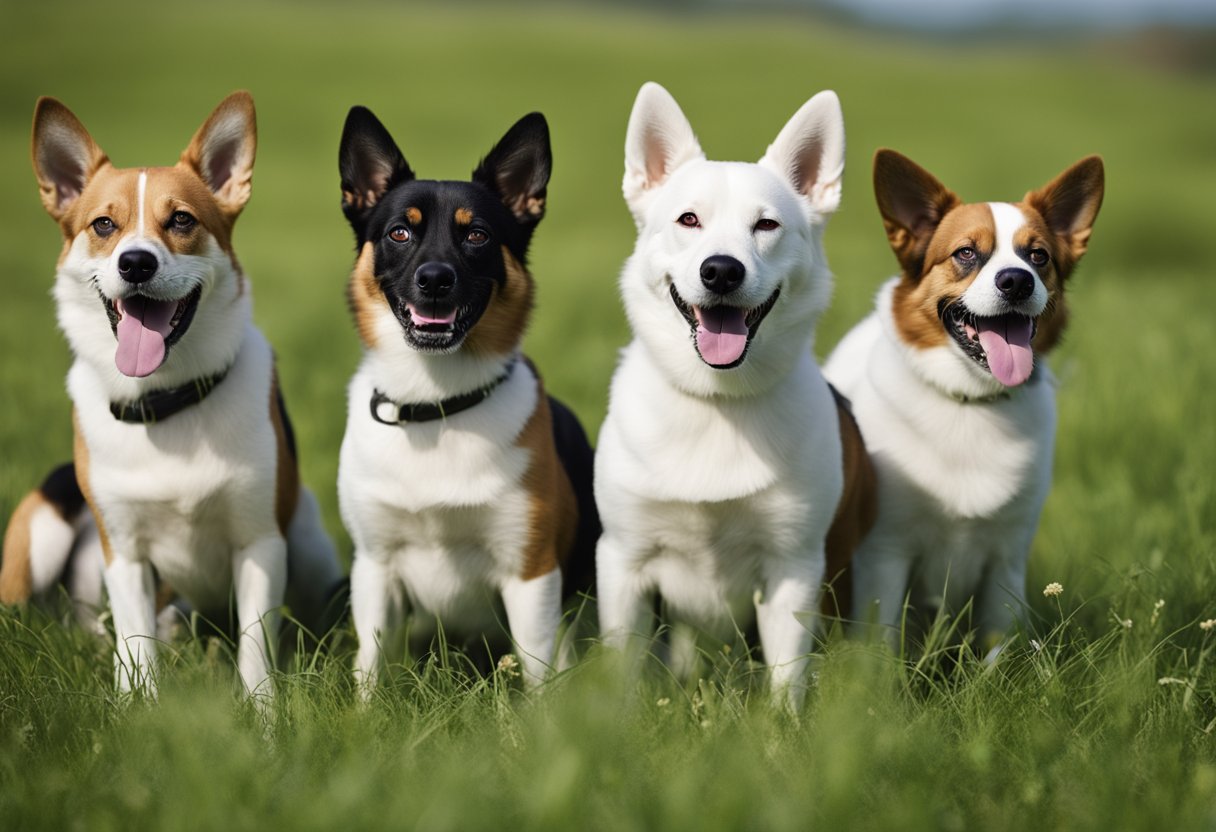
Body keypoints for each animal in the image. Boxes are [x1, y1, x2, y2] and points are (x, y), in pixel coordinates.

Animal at [2, 92, 345, 695]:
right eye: (103, 224)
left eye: (181, 219)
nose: (136, 262)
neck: (166, 402)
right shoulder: (126, 554)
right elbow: (137, 646)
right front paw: (136, 705)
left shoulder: (260, 543)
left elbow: (255, 647)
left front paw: (263, 711)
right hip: (40, 530)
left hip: (307, 540)